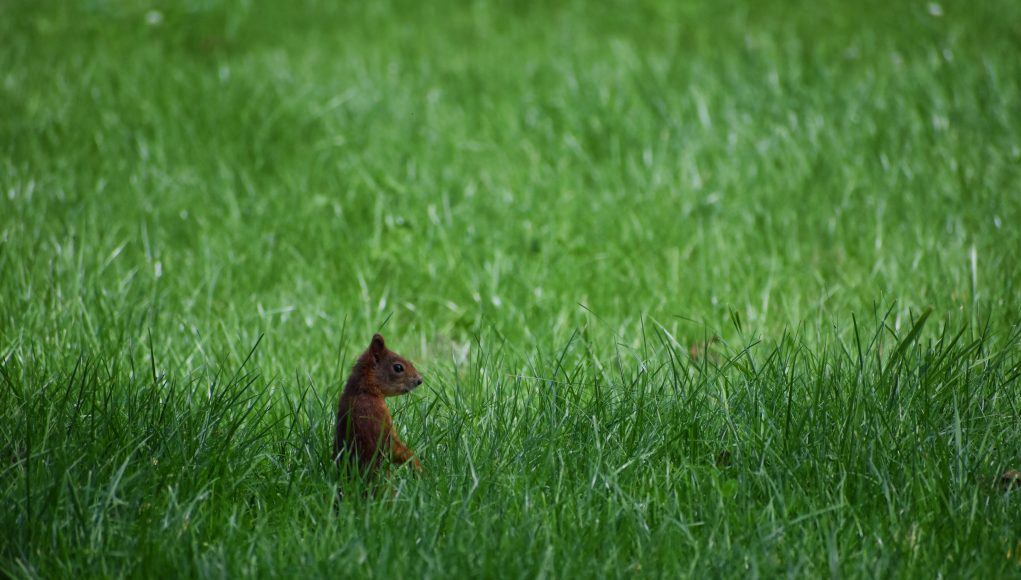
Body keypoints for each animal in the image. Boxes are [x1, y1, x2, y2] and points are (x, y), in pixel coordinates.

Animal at [334, 332, 422, 477]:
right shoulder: (378, 417)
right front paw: (416, 464)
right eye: (398, 367)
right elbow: (394, 448)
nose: (420, 380)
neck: (363, 391)